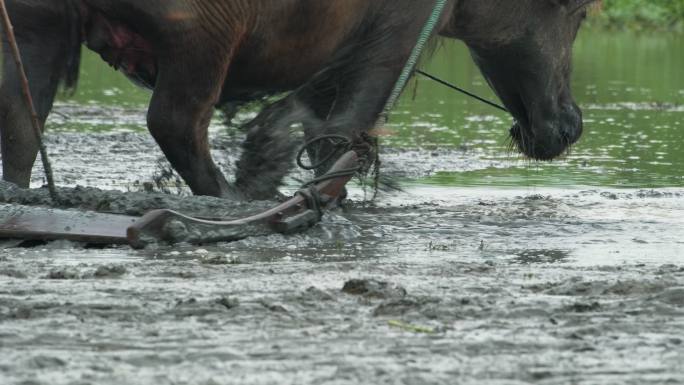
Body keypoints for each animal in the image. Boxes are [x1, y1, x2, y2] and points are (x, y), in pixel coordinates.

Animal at [0, 1, 596, 200]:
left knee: (21, 123)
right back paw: (232, 201)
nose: (571, 123)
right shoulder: (393, 39)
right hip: (203, 38)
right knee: (176, 123)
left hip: (34, 27)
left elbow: (296, 120)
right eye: (580, 9)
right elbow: (343, 133)